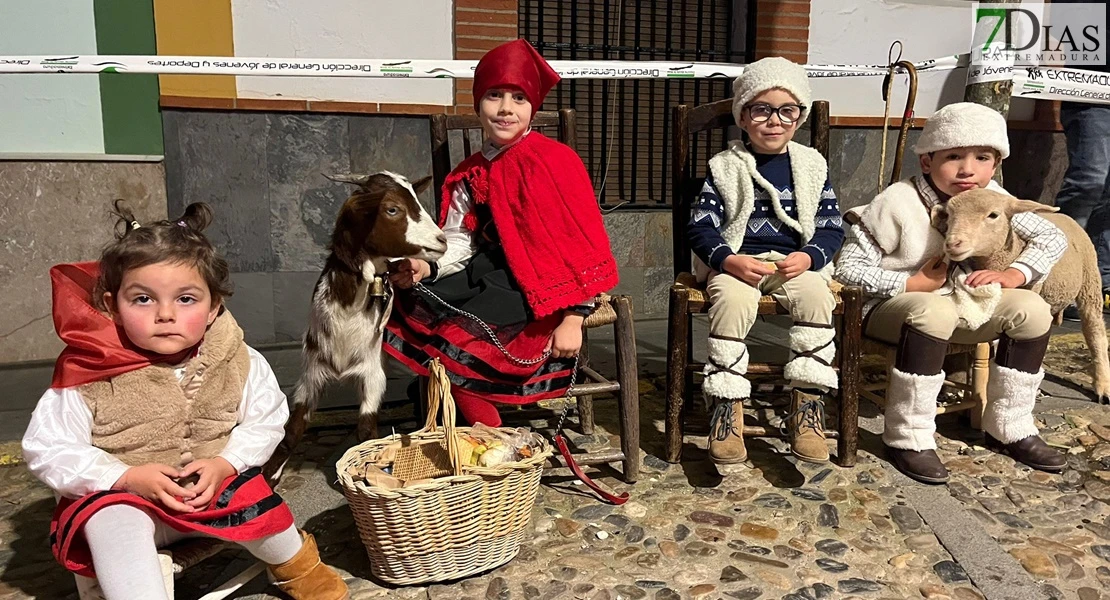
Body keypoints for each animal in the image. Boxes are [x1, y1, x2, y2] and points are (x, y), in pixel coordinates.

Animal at [264, 170, 446, 479]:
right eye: (392, 209)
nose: (442, 240)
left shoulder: (373, 374)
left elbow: (366, 431)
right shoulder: (311, 373)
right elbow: (291, 433)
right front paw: (269, 475)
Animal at [932, 187, 1105, 401]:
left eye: (993, 215)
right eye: (949, 215)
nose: (953, 243)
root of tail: (1064, 216)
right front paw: (956, 385)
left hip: (1090, 279)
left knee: (1094, 329)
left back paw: (1102, 386)